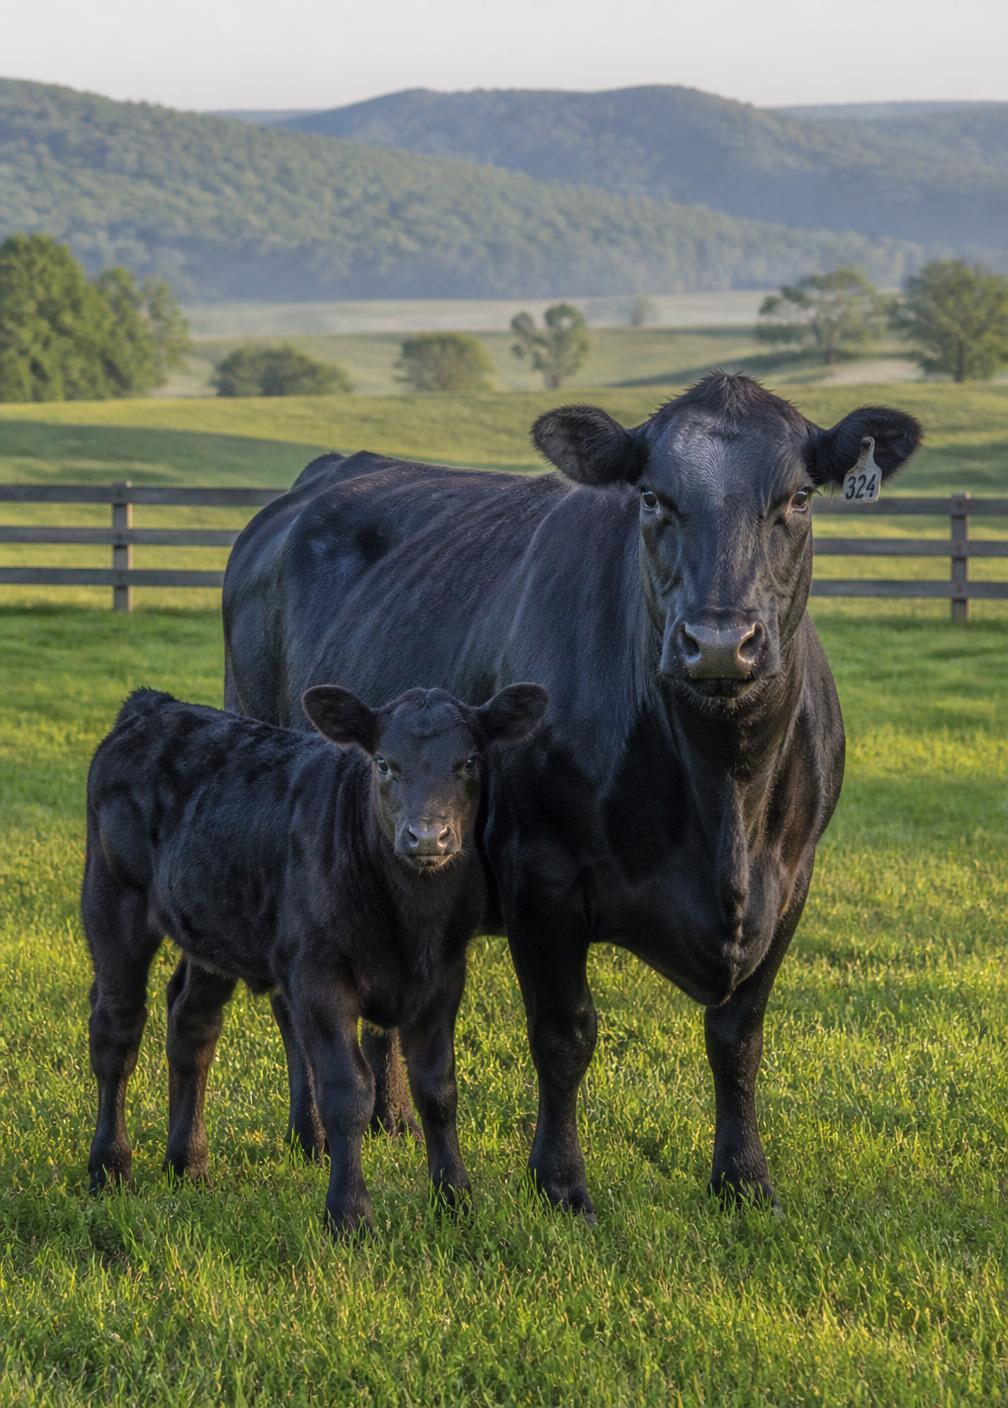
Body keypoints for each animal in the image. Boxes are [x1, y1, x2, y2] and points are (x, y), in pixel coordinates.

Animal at [82, 681, 548, 1234]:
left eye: (470, 760)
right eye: (383, 763)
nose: (427, 836)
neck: (410, 923)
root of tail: (153, 706)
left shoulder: (444, 977)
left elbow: (437, 1088)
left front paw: (455, 1202)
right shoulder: (318, 979)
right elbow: (348, 1093)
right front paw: (349, 1214)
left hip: (211, 923)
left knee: (192, 1026)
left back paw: (187, 1165)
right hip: (114, 901)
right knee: (117, 1030)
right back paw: (110, 1168)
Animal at [220, 372, 921, 1218]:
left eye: (798, 498)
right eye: (652, 497)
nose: (720, 643)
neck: (725, 793)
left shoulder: (790, 884)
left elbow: (738, 1037)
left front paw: (744, 1178)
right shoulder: (539, 874)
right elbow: (565, 1034)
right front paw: (559, 1182)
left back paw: (390, 1117)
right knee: (293, 999)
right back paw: (315, 1131)